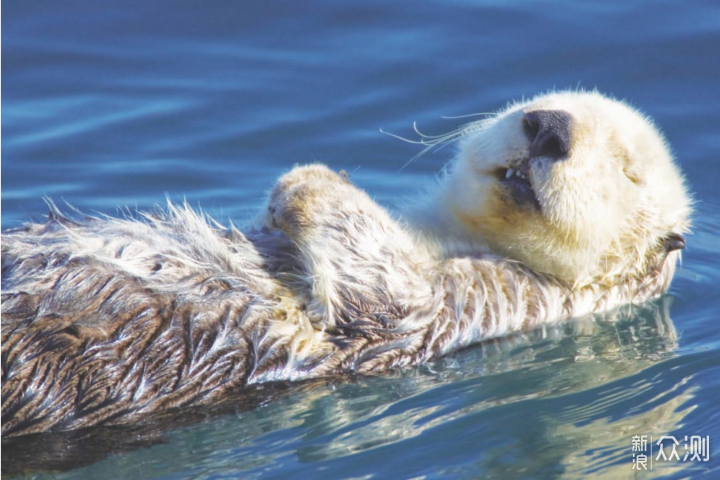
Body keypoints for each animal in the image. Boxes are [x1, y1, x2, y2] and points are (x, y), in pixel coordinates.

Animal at [0, 89, 688, 436]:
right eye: (540, 103)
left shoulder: (493, 299)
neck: (448, 234)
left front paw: (307, 181)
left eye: (626, 170)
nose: (548, 126)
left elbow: (386, 296)